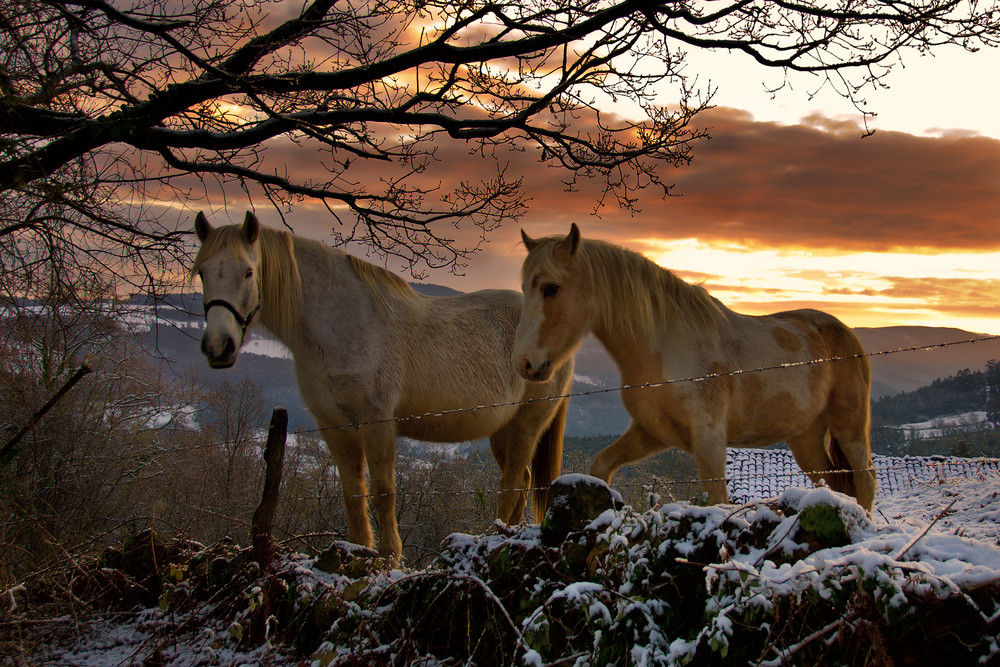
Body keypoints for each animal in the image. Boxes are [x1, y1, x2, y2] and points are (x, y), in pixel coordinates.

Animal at [192, 213, 576, 560]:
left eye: (248, 271)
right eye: (201, 272)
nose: (217, 346)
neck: (341, 324)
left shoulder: (376, 423)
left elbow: (382, 492)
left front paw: (389, 556)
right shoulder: (334, 426)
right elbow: (352, 492)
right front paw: (360, 550)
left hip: (527, 423)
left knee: (511, 485)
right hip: (502, 429)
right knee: (522, 479)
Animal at [516, 224, 876, 512]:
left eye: (551, 288)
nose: (526, 364)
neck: (667, 349)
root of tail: (844, 332)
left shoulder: (709, 441)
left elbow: (716, 501)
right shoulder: (652, 432)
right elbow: (601, 464)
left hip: (849, 425)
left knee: (865, 479)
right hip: (805, 438)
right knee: (836, 483)